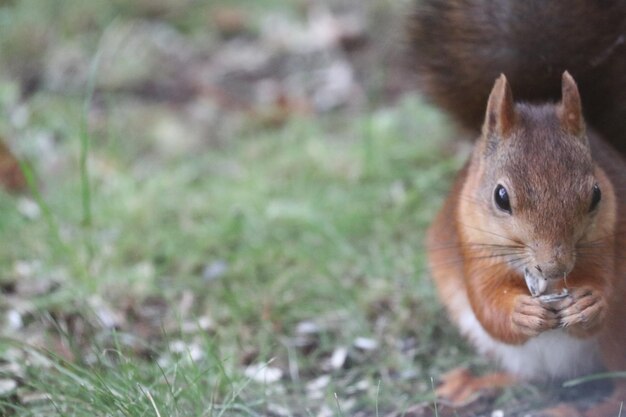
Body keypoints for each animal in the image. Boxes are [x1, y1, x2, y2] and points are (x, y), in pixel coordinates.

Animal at [408, 0, 624, 416]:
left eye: (596, 195)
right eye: (500, 197)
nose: (554, 267)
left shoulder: (608, 239)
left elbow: (605, 288)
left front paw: (589, 303)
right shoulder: (471, 244)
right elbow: (489, 307)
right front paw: (521, 312)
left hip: (619, 339)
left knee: (619, 381)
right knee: (528, 375)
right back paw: (475, 384)